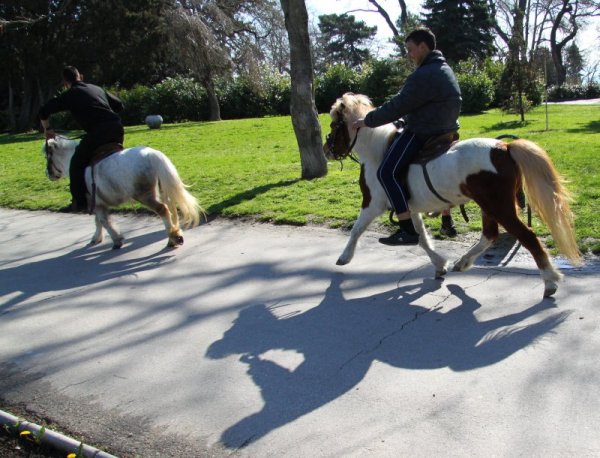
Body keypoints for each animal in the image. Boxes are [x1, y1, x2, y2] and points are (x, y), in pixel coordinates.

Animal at [43, 136, 202, 249]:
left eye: (48, 157)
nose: (48, 174)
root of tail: (152, 154)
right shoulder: (98, 203)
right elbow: (98, 221)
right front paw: (97, 238)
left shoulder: (96, 202)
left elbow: (103, 220)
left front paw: (116, 240)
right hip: (162, 190)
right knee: (172, 209)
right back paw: (175, 234)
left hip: (144, 195)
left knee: (163, 210)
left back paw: (172, 240)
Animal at [324, 94, 580, 300]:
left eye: (334, 124)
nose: (327, 151)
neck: (377, 151)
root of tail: (505, 148)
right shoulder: (410, 208)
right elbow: (420, 238)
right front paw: (439, 265)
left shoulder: (373, 204)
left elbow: (357, 229)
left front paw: (344, 257)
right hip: (489, 206)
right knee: (490, 235)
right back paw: (463, 262)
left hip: (500, 207)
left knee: (527, 237)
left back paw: (549, 281)